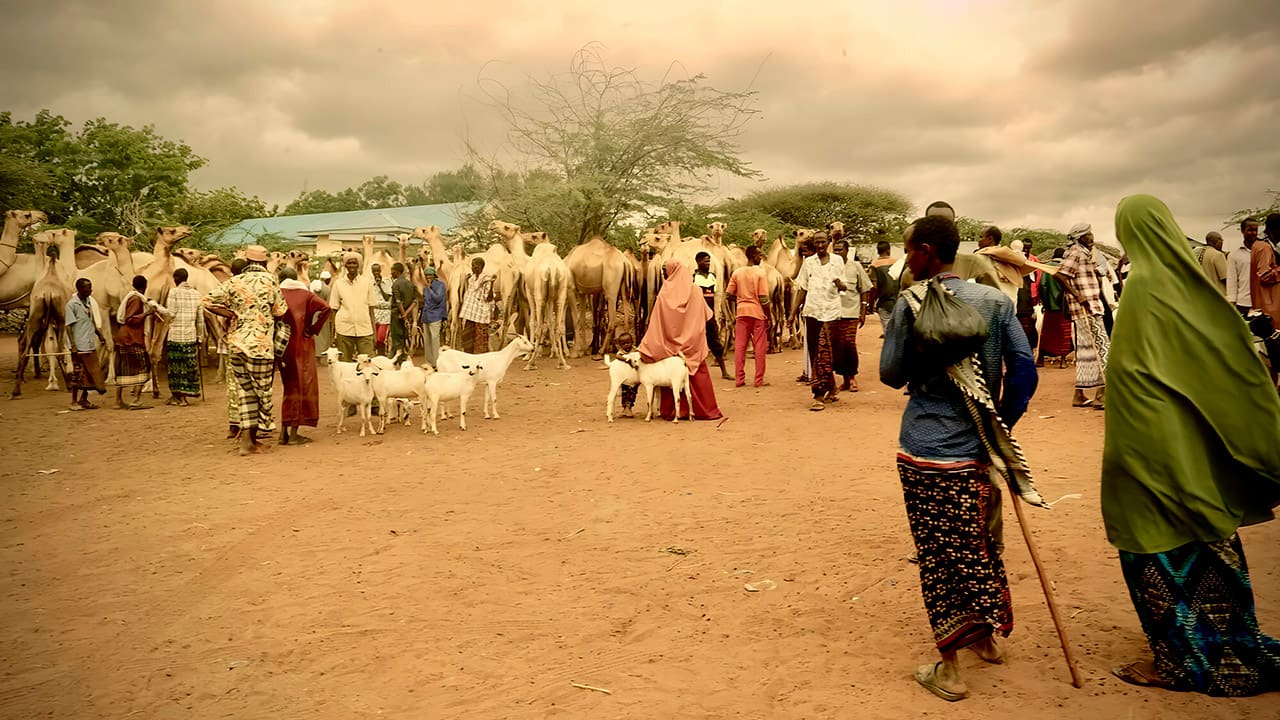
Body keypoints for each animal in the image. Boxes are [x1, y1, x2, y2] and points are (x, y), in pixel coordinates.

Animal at [12, 229, 78, 394]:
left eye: (54, 234)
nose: (47, 234)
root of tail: (48, 293)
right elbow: (58, 347)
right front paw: (55, 381)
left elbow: (49, 345)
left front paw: (52, 382)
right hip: (60, 318)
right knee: (58, 349)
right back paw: (68, 385)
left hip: (36, 316)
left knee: (26, 347)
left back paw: (17, 388)